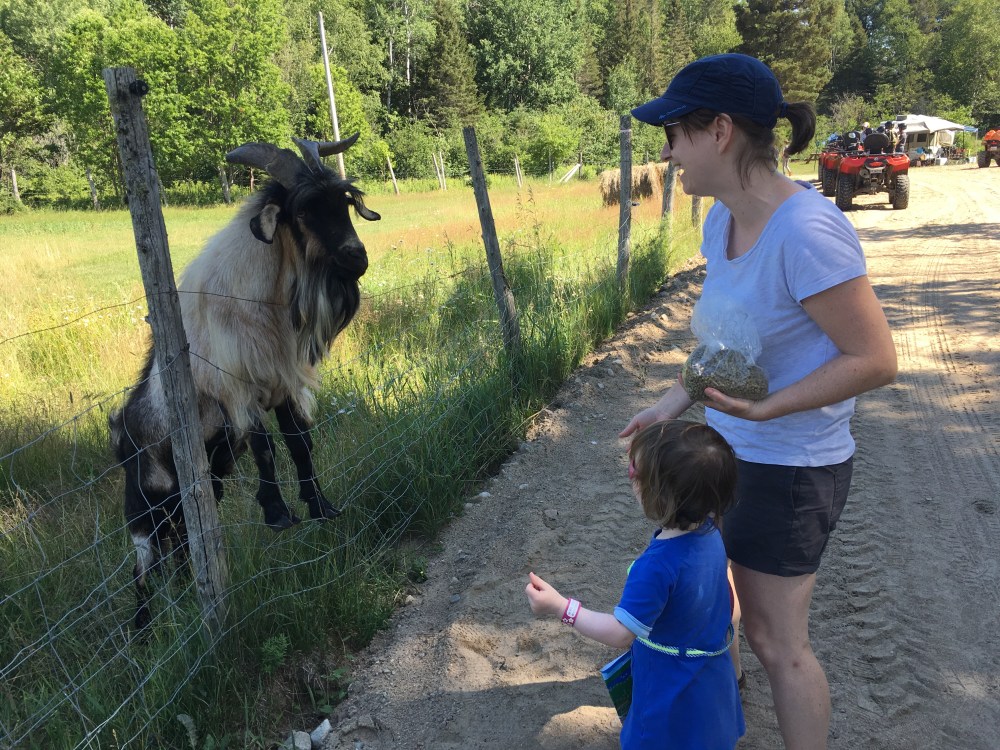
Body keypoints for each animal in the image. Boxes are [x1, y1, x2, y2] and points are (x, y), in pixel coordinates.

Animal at [109, 133, 380, 629]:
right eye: (305, 209)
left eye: (346, 202)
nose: (357, 257)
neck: (263, 300)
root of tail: (121, 434)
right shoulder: (240, 390)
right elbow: (265, 447)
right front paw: (276, 513)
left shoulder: (282, 385)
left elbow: (300, 444)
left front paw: (320, 507)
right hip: (143, 510)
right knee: (141, 568)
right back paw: (141, 628)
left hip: (196, 491)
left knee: (182, 544)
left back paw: (186, 593)